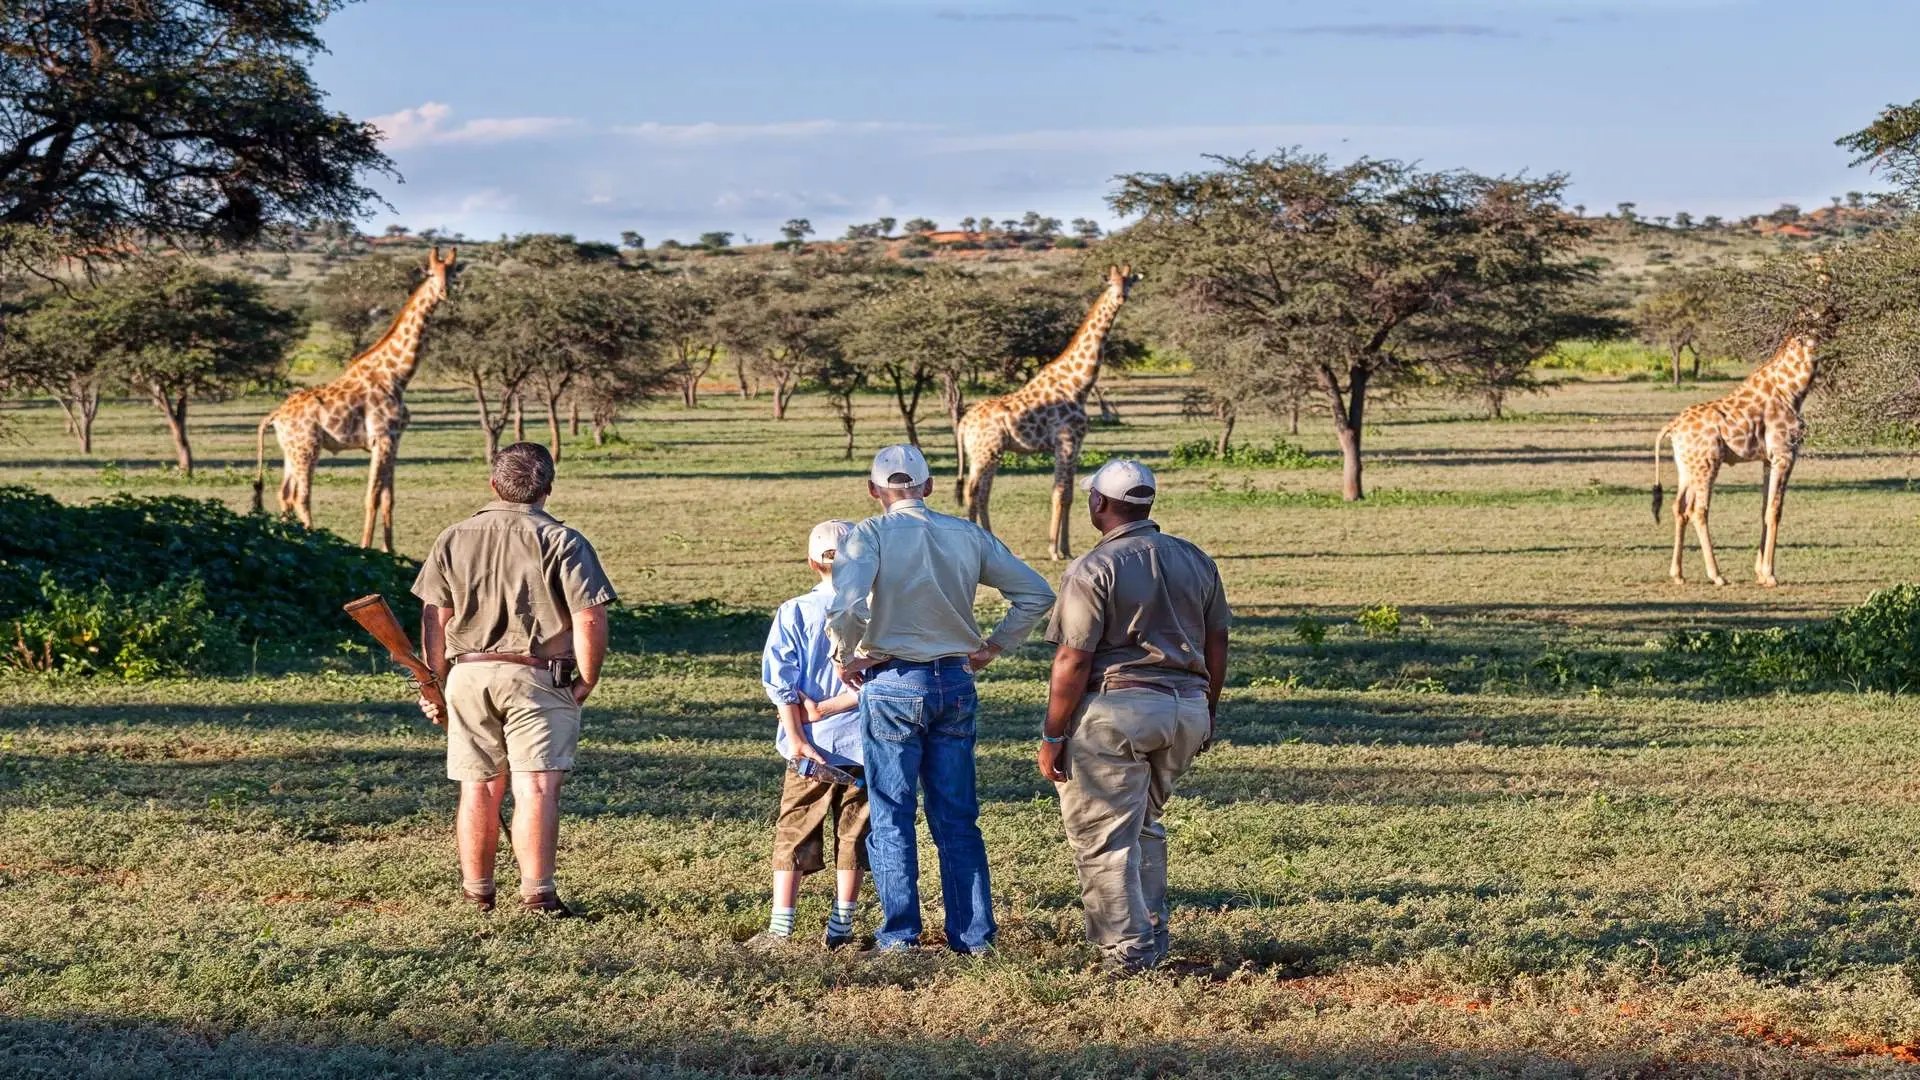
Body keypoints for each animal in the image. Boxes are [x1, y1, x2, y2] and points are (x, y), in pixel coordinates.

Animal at [253, 244, 455, 545]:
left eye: (452, 272)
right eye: (431, 273)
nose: (444, 292)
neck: (398, 375)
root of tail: (275, 415)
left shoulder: (394, 441)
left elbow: (389, 499)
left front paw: (389, 550)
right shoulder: (381, 438)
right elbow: (372, 498)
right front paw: (366, 547)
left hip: (291, 449)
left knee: (285, 494)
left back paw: (288, 538)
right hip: (307, 448)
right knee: (301, 496)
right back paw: (312, 540)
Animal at [952, 265, 1128, 557]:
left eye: (1130, 281)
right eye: (1111, 283)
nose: (1121, 297)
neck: (1078, 384)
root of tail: (963, 423)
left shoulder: (1076, 444)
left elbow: (1069, 493)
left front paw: (1066, 548)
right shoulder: (1065, 441)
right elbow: (1060, 491)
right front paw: (1054, 550)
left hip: (990, 453)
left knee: (983, 492)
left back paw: (991, 538)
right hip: (983, 452)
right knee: (972, 490)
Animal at [1643, 290, 1835, 584]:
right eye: (1817, 313)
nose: (1837, 316)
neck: (1792, 391)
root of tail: (1672, 426)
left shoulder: (1768, 459)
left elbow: (1764, 509)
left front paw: (1760, 572)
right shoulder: (1785, 454)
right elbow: (1775, 510)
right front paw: (1769, 575)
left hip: (1687, 467)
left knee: (1679, 507)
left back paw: (1678, 574)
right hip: (1707, 464)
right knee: (1698, 510)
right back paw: (1717, 575)